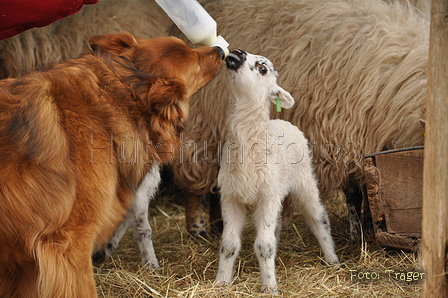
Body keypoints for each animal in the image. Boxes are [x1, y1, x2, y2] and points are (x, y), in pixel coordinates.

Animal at [173, 0, 428, 242]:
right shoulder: (340, 136)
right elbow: (354, 194)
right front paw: (358, 236)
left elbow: (369, 187)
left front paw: (370, 224)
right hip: (202, 122)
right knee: (194, 178)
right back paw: (198, 230)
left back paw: (220, 225)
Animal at [215, 49, 338, 294]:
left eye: (263, 68)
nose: (237, 53)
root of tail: (283, 121)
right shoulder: (231, 196)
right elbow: (229, 244)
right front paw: (221, 282)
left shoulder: (267, 195)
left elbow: (264, 244)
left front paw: (270, 287)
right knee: (278, 224)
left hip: (304, 180)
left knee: (318, 217)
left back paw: (332, 259)